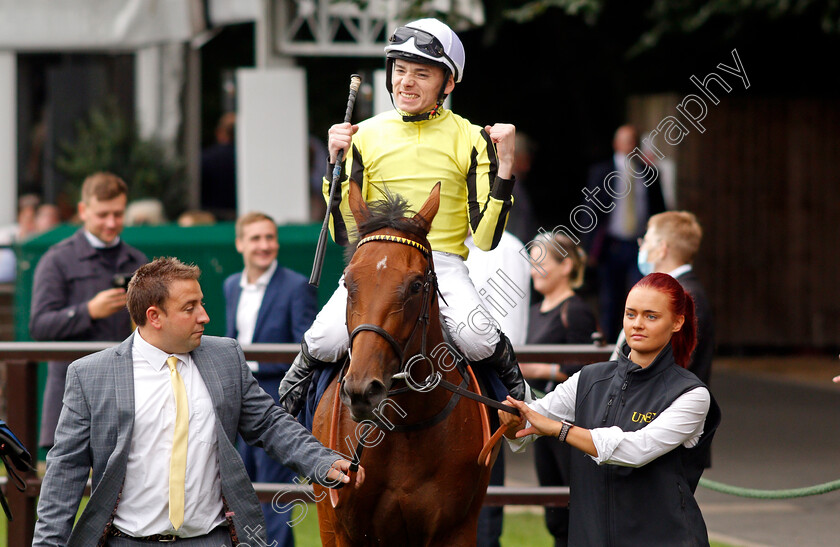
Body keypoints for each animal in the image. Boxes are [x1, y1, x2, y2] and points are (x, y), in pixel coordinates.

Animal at [314, 184, 498, 547]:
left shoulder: (455, 529)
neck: (404, 429)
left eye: (415, 285)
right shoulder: (343, 530)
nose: (362, 390)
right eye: (347, 282)